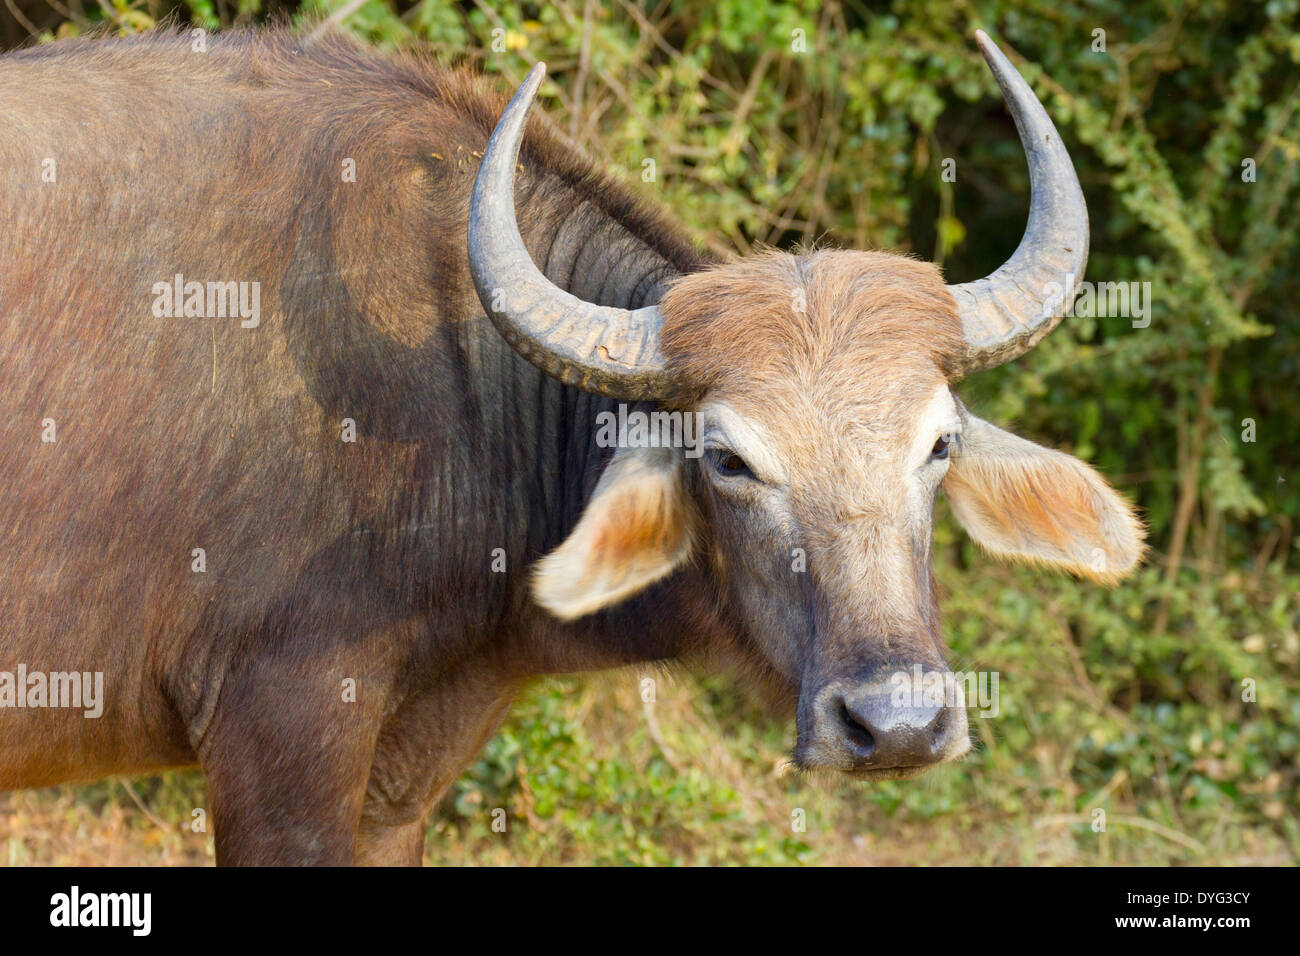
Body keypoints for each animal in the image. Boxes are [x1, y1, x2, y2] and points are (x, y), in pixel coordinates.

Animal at [0, 27, 1138, 868]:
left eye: (937, 443)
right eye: (728, 457)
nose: (895, 723)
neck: (454, 385)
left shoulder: (394, 787)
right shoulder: (276, 741)